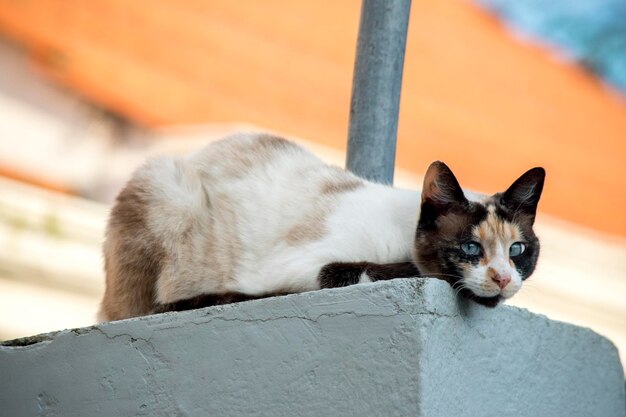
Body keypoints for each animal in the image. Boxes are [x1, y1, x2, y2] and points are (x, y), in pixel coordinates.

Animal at [97, 132, 540, 320]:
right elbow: (413, 271)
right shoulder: (310, 269)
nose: (503, 278)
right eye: (470, 248)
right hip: (168, 187)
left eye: (518, 251)